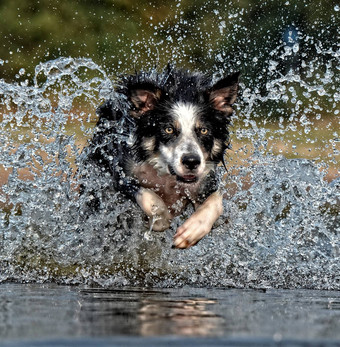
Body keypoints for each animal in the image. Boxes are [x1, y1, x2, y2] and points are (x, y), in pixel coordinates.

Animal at [82, 65, 239, 249]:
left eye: (204, 130)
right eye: (168, 129)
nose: (191, 161)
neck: (167, 176)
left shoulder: (206, 180)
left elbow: (216, 201)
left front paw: (191, 231)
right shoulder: (121, 174)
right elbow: (149, 197)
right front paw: (159, 219)